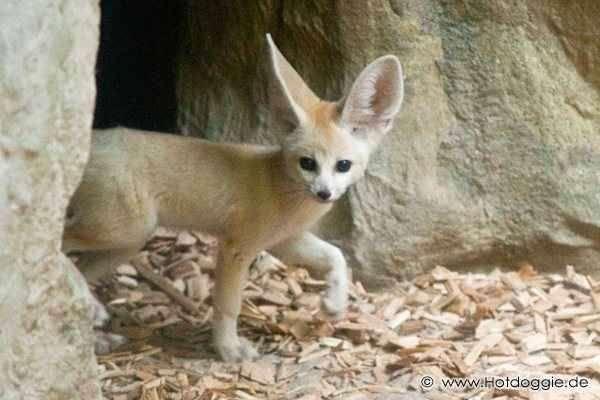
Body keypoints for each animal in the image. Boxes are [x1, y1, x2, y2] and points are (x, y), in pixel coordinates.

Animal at [63, 35, 406, 362]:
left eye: (343, 165)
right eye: (307, 163)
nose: (324, 193)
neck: (280, 184)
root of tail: (92, 140)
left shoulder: (285, 240)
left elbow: (336, 255)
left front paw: (334, 303)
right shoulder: (237, 247)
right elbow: (229, 306)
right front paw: (228, 349)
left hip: (127, 243)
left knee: (78, 265)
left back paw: (95, 329)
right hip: (125, 229)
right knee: (57, 245)